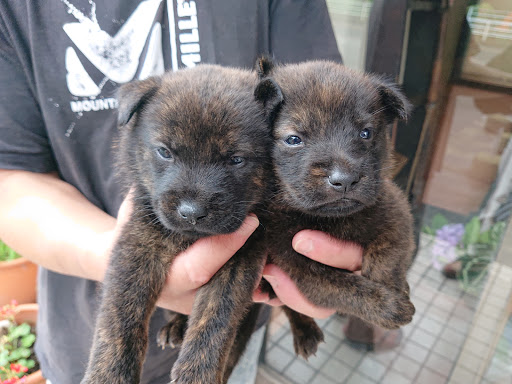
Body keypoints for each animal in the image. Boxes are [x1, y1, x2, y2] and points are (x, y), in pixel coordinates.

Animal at [83, 66, 282, 384]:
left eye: (236, 159)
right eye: (165, 152)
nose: (192, 213)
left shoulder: (243, 256)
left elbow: (215, 319)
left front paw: (197, 374)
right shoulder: (136, 243)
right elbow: (119, 317)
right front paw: (108, 375)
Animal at [256, 58, 416, 358]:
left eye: (366, 133)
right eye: (293, 139)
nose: (344, 180)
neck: (330, 220)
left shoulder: (396, 211)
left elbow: (388, 255)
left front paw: (393, 289)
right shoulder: (299, 268)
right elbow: (347, 289)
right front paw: (388, 307)